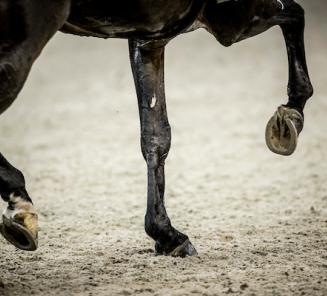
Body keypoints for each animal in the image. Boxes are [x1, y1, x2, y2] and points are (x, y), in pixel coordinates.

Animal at [0, 0, 314, 256]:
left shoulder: (149, 39)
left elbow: (155, 134)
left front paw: (166, 234)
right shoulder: (229, 18)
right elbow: (294, 13)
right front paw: (290, 116)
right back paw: (19, 204)